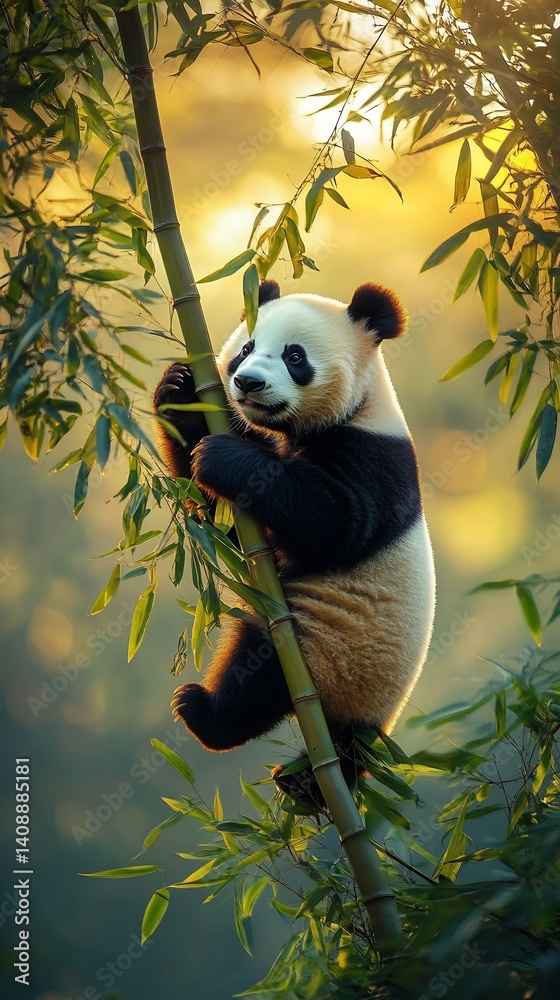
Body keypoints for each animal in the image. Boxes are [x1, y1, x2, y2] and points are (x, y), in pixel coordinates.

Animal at [154, 279, 436, 803]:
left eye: (295, 356)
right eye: (245, 348)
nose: (248, 383)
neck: (362, 404)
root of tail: (368, 726)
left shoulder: (374, 458)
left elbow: (335, 521)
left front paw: (224, 457)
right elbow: (227, 527)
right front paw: (179, 390)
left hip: (325, 653)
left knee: (257, 678)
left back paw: (204, 714)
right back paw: (304, 784)